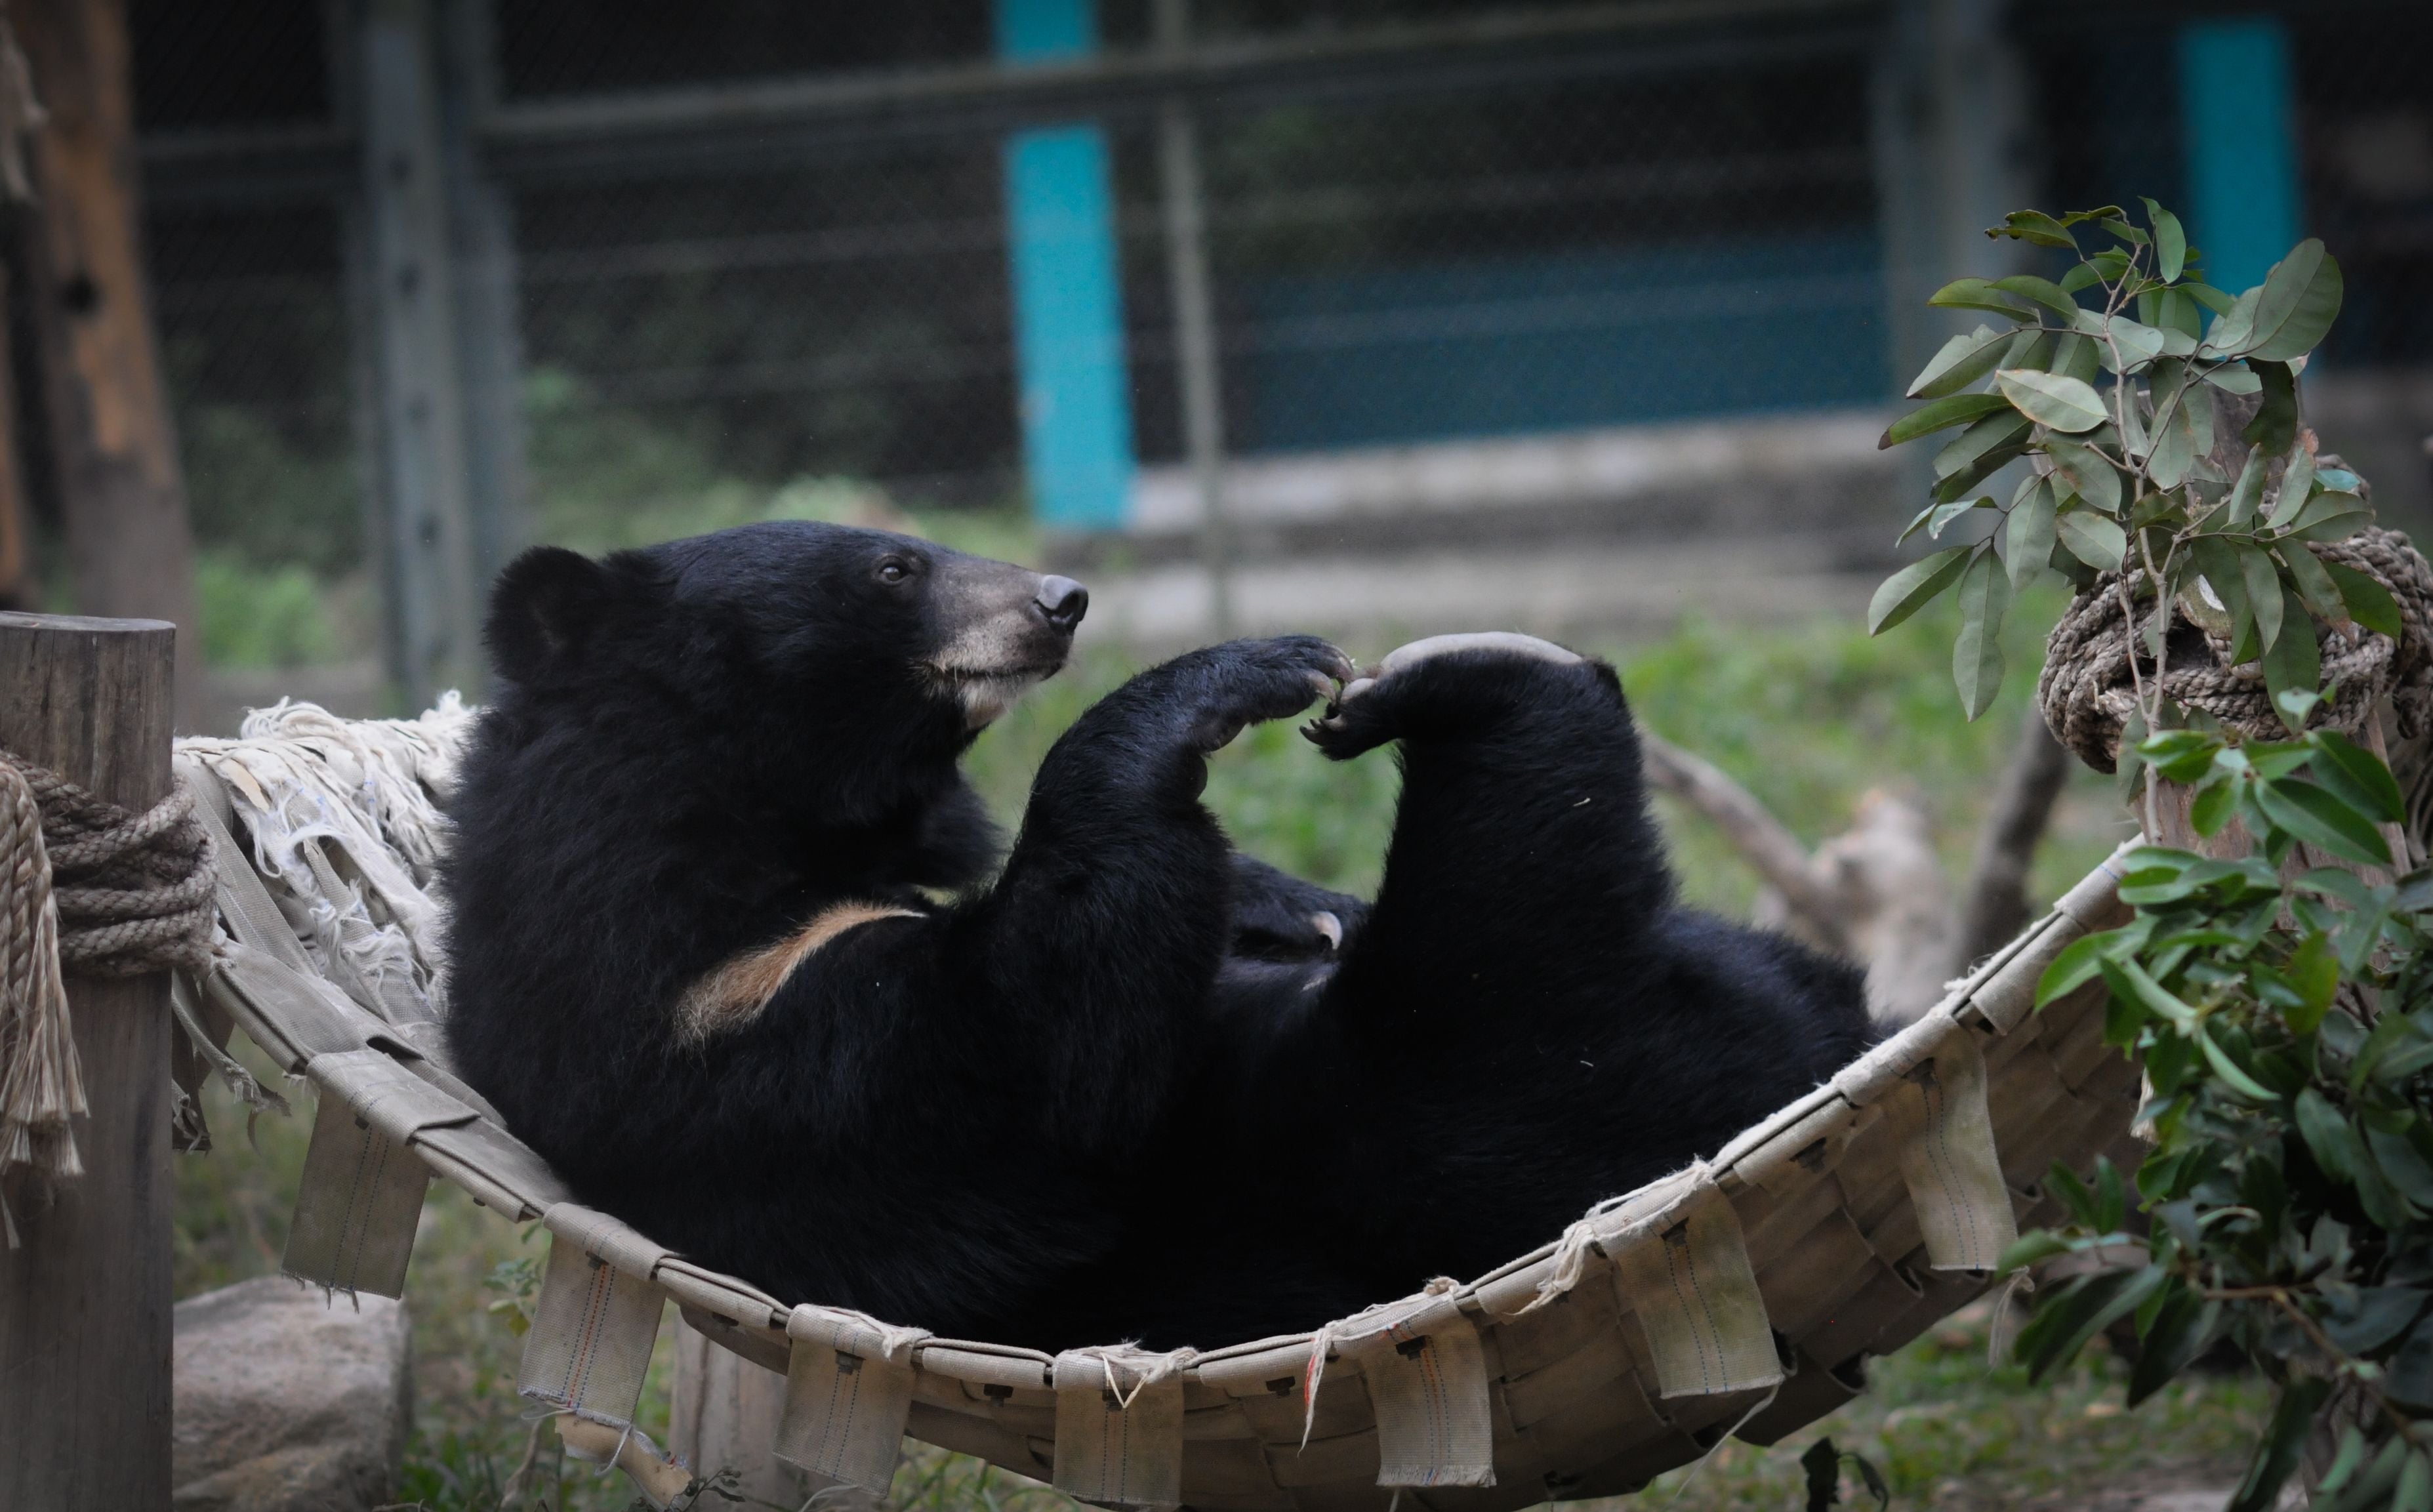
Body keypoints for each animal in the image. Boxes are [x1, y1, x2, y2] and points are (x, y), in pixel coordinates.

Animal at [443, 522, 1874, 1353]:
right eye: (893, 570)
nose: (1063, 598)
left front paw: (1292, 898)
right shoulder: (709, 1029)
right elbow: (1030, 1084)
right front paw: (1237, 676)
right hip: (1437, 1087)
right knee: (1514, 906)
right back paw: (1466, 674)